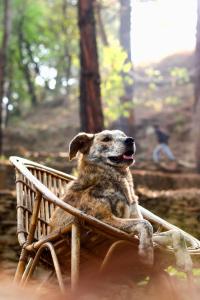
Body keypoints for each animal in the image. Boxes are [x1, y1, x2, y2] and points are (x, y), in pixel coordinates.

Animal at [49, 130, 192, 270]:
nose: (130, 140)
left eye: (123, 135)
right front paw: (147, 252)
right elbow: (146, 224)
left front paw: (185, 260)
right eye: (106, 139)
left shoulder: (135, 232)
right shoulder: (102, 220)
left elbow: (177, 232)